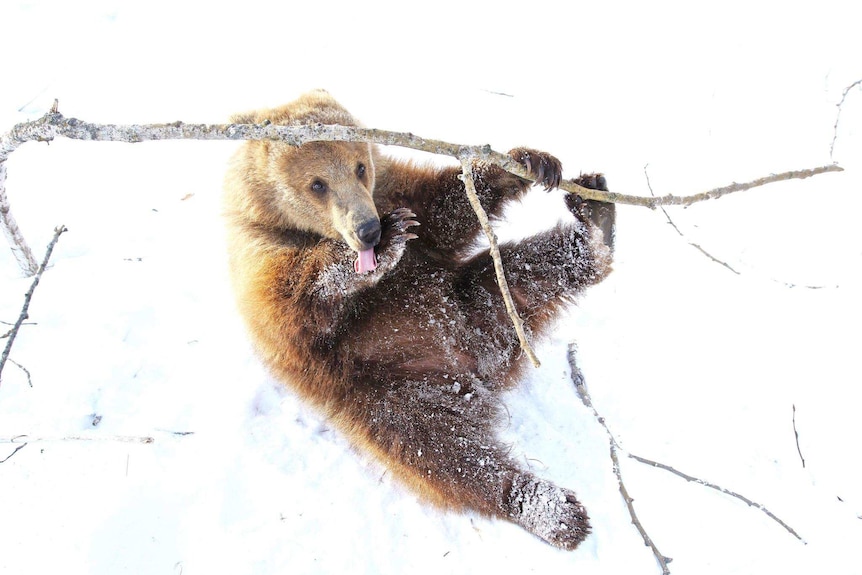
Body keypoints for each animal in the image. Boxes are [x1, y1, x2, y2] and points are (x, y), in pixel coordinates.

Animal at [223, 89, 616, 548]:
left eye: (360, 166)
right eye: (316, 183)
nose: (370, 230)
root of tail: (477, 375)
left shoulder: (394, 189)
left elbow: (441, 210)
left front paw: (525, 163)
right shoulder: (260, 261)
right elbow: (292, 304)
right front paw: (375, 251)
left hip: (478, 304)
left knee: (526, 271)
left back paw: (596, 227)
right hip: (388, 390)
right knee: (442, 452)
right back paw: (547, 508)